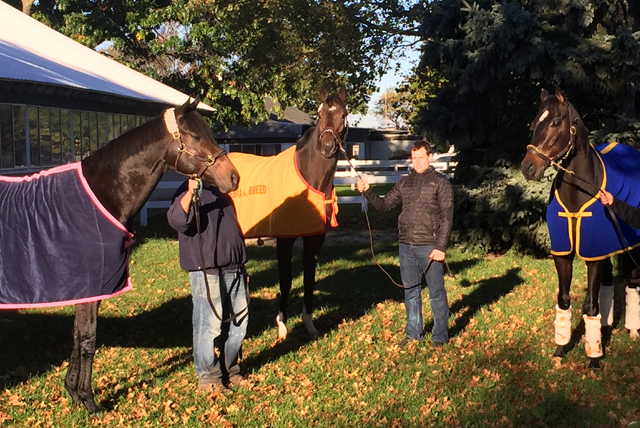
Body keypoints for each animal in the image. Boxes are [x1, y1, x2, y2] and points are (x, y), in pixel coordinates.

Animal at [1, 98, 239, 412]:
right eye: (196, 136)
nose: (233, 177)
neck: (102, 195)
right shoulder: (90, 288)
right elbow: (88, 338)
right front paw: (89, 401)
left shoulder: (86, 292)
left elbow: (77, 336)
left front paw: (73, 392)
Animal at [520, 87, 640, 368]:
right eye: (533, 123)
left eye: (555, 122)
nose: (528, 167)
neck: (579, 193)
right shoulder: (565, 254)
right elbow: (564, 300)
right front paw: (560, 349)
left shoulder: (592, 255)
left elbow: (590, 306)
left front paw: (594, 358)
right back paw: (605, 328)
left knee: (632, 282)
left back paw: (631, 330)